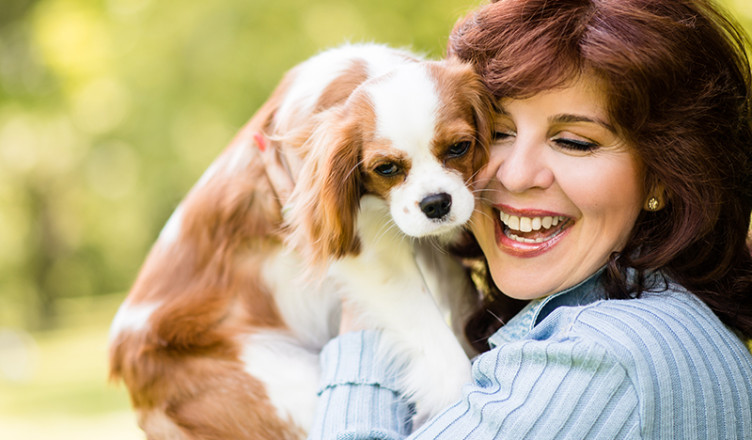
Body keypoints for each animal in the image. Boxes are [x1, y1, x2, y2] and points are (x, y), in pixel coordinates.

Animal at [107, 42, 494, 440]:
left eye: (460, 147)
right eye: (386, 168)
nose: (435, 203)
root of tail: (125, 364)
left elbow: (460, 300)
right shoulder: (370, 251)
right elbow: (442, 349)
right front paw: (457, 395)